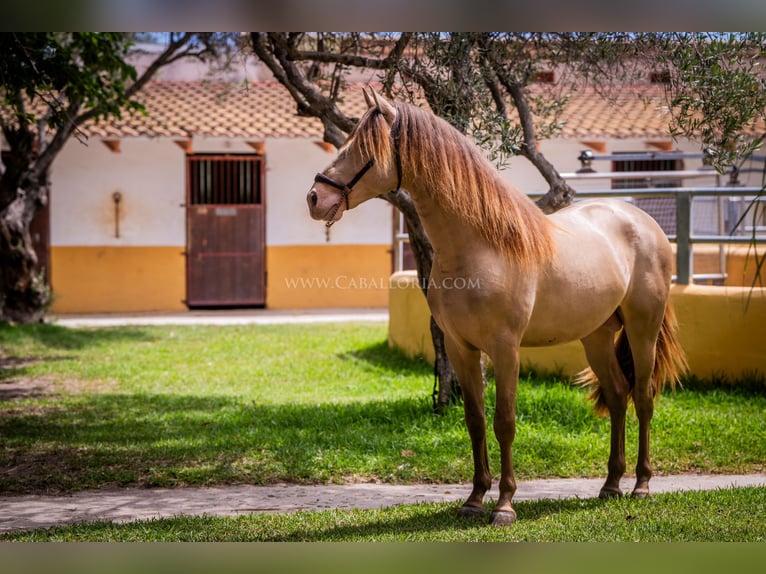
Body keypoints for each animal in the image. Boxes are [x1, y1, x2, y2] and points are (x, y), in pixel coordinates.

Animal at [306, 89, 688, 528]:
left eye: (363, 149)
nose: (315, 198)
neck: (480, 247)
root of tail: (642, 220)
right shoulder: (460, 348)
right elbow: (475, 422)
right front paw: (474, 500)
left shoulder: (506, 350)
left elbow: (505, 422)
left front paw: (504, 505)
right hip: (596, 336)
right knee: (617, 395)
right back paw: (610, 485)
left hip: (643, 330)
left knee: (643, 397)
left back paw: (641, 485)